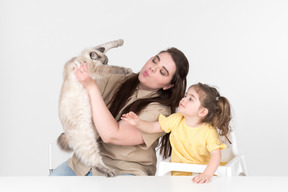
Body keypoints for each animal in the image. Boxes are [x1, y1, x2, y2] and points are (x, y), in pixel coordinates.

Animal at [57, 39, 132, 177]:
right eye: (105, 63)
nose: (108, 63)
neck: (81, 58)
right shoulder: (97, 69)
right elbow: (113, 69)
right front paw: (127, 70)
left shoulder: (95, 51)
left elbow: (106, 45)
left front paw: (120, 41)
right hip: (88, 144)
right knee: (94, 162)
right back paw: (109, 172)